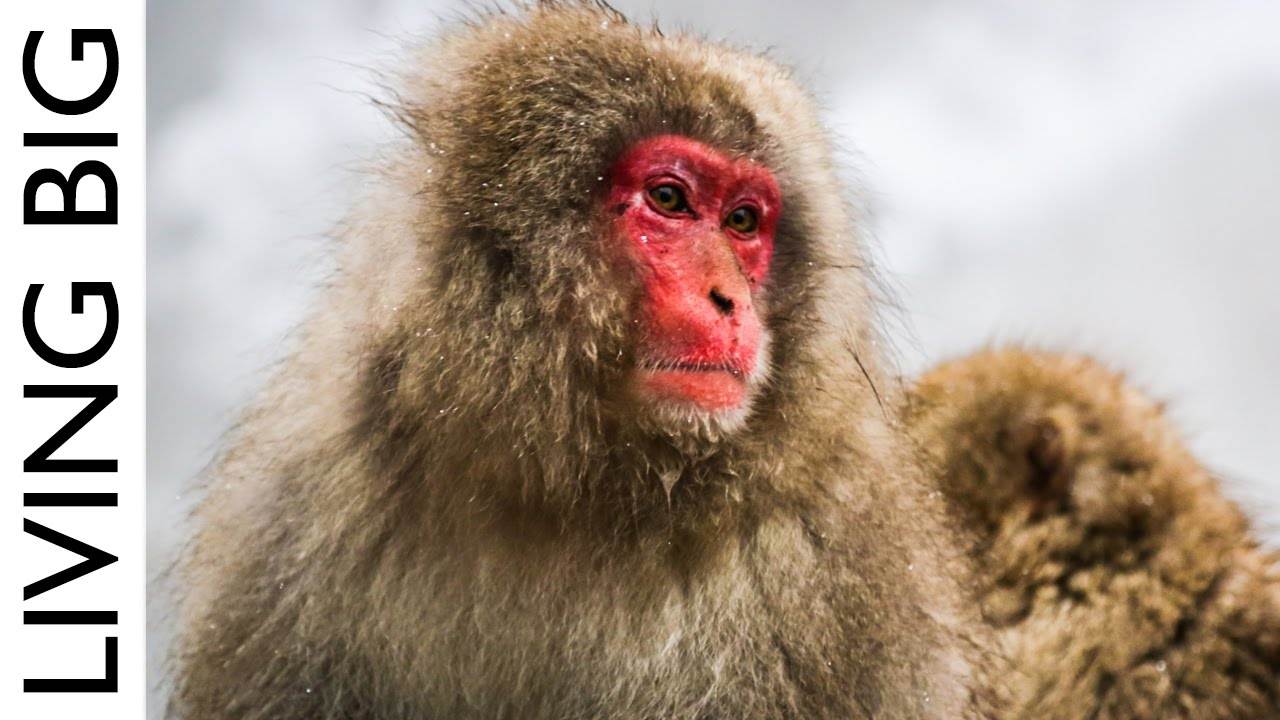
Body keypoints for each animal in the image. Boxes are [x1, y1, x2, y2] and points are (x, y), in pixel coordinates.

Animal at [169, 3, 1002, 719]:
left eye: (742, 221)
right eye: (668, 199)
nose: (730, 301)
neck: (579, 489)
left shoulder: (837, 568)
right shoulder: (296, 513)